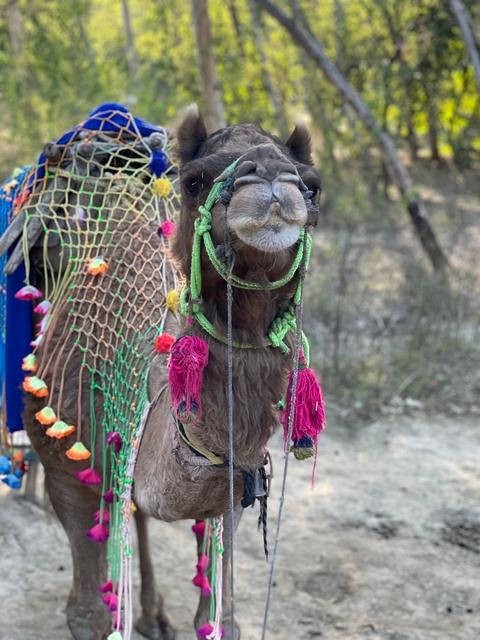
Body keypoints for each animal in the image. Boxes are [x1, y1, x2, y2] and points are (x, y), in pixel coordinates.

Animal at [1, 105, 322, 640]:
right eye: (194, 181)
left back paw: (153, 614)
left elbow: (220, 618)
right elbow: (87, 614)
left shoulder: (235, 488)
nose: (272, 180)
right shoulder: (65, 463)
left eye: (313, 186)